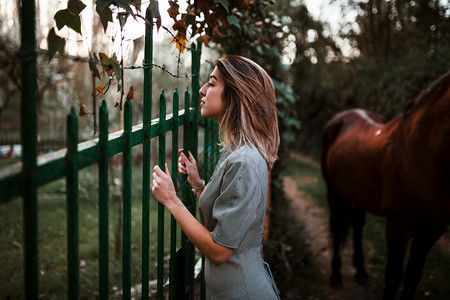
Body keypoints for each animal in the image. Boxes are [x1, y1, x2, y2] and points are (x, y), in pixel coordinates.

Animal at [320, 71, 450, 300]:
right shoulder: (398, 224)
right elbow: (394, 276)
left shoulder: (432, 230)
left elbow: (412, 277)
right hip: (334, 192)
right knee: (336, 227)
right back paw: (336, 276)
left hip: (358, 194)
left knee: (357, 224)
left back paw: (361, 272)